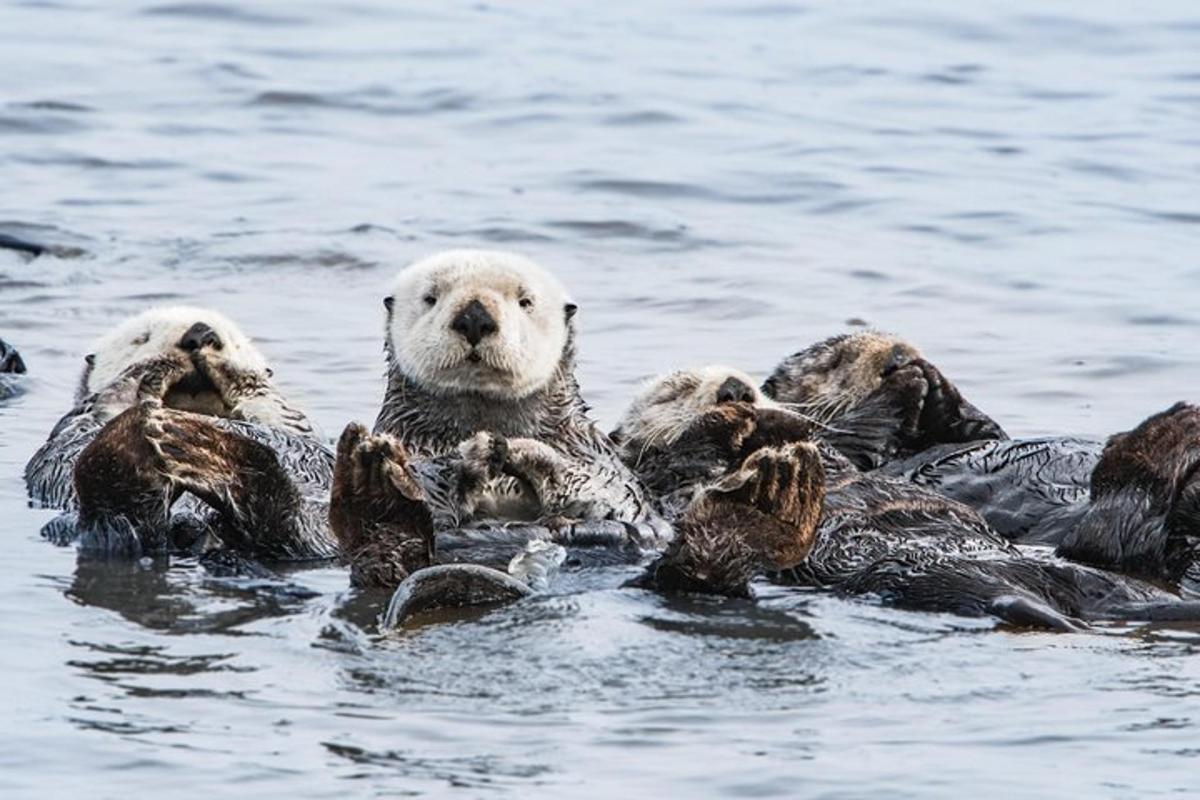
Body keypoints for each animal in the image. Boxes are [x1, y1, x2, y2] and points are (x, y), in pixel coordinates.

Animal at [29, 307, 338, 563]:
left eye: (234, 342)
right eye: (141, 338)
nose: (200, 333)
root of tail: (194, 523)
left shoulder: (293, 425)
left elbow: (280, 412)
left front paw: (237, 374)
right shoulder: (77, 420)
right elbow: (94, 411)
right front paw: (151, 371)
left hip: (323, 526)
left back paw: (212, 455)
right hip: (69, 524)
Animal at [614, 364, 1200, 633]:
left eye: (756, 383)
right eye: (672, 391)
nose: (737, 388)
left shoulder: (838, 451)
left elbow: (839, 443)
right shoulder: (666, 479)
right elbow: (678, 457)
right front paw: (725, 420)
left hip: (1109, 579)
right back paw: (764, 501)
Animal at [763, 331, 1195, 587]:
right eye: (833, 363)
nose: (898, 355)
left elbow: (984, 431)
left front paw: (935, 381)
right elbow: (849, 438)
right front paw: (905, 384)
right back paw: (1161, 439)